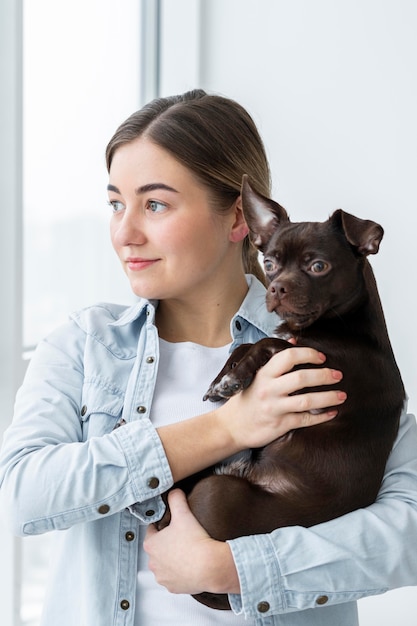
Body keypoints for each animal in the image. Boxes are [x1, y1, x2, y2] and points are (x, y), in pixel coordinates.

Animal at [167, 176, 404, 608]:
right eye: (270, 263)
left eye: (318, 266)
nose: (276, 287)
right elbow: (252, 345)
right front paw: (223, 379)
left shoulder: (319, 368)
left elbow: (267, 343)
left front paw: (233, 377)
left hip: (218, 492)